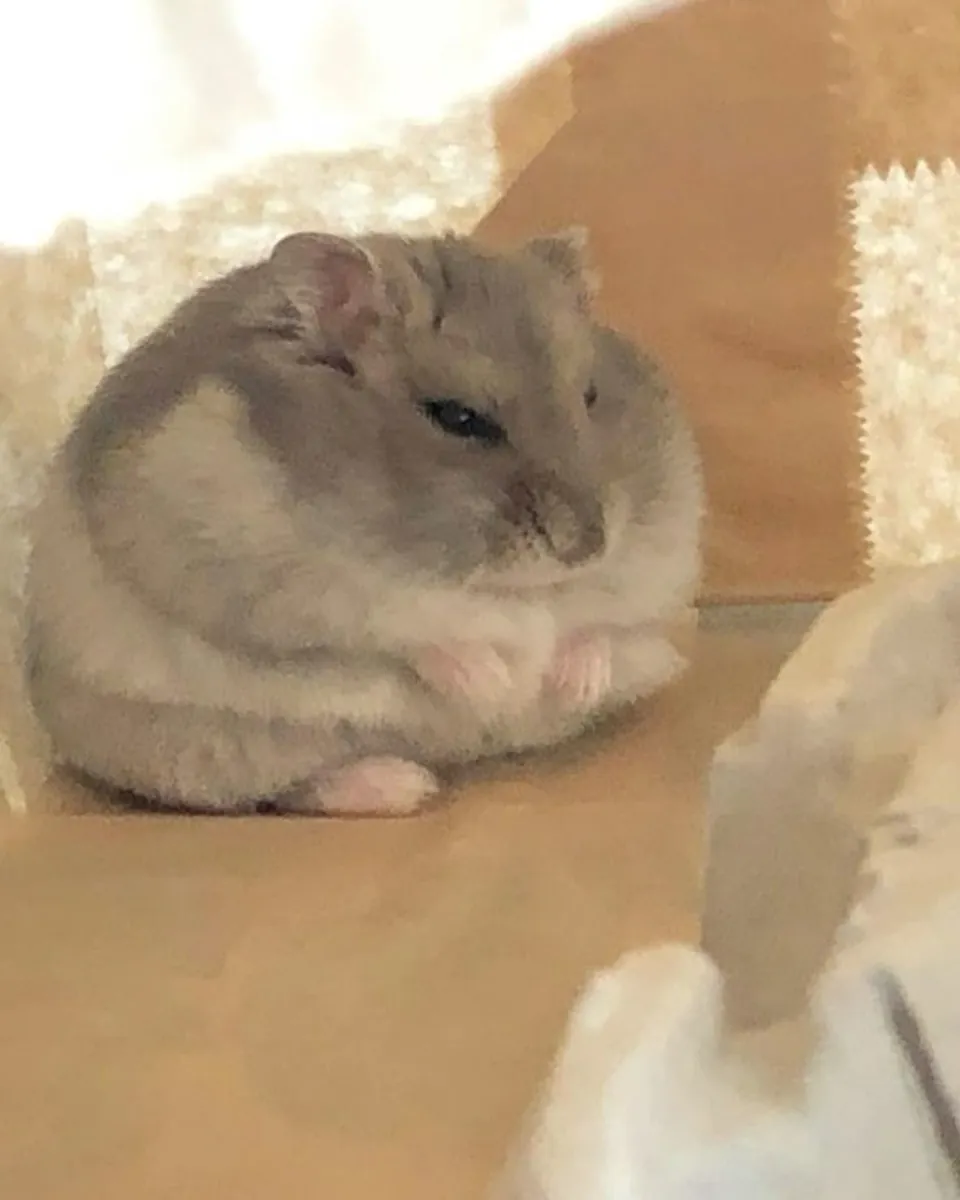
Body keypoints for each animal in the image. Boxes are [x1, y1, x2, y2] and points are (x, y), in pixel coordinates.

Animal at [24, 229, 702, 815]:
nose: (588, 545)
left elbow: (599, 625)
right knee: (286, 791)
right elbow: (409, 630)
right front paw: (496, 683)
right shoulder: (289, 588)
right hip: (193, 750)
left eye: (590, 395)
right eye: (458, 418)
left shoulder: (656, 566)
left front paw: (564, 682)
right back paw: (404, 786)